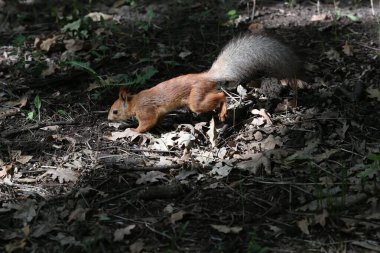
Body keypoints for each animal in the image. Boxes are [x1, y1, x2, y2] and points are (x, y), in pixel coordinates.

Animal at [108, 33, 298, 132]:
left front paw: (133, 130)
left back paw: (222, 111)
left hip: (196, 97)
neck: (135, 102)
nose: (109, 119)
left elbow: (146, 123)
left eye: (115, 111)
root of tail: (207, 77)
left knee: (220, 95)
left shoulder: (146, 111)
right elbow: (157, 120)